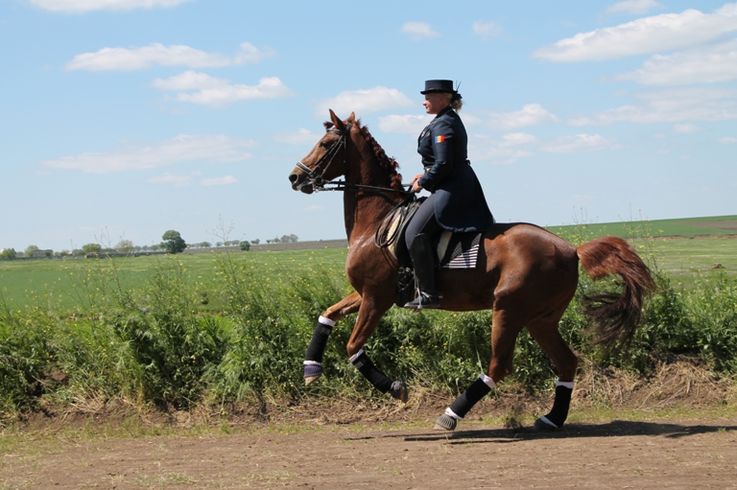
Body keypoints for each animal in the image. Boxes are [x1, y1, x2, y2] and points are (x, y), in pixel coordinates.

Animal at [284, 110, 652, 428]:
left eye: (326, 143)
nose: (295, 177)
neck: (378, 220)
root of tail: (572, 250)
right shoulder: (365, 293)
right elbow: (327, 315)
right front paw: (310, 367)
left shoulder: (376, 298)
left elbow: (352, 347)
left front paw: (395, 388)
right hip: (540, 318)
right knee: (566, 361)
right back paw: (552, 418)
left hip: (508, 309)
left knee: (500, 365)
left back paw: (451, 414)